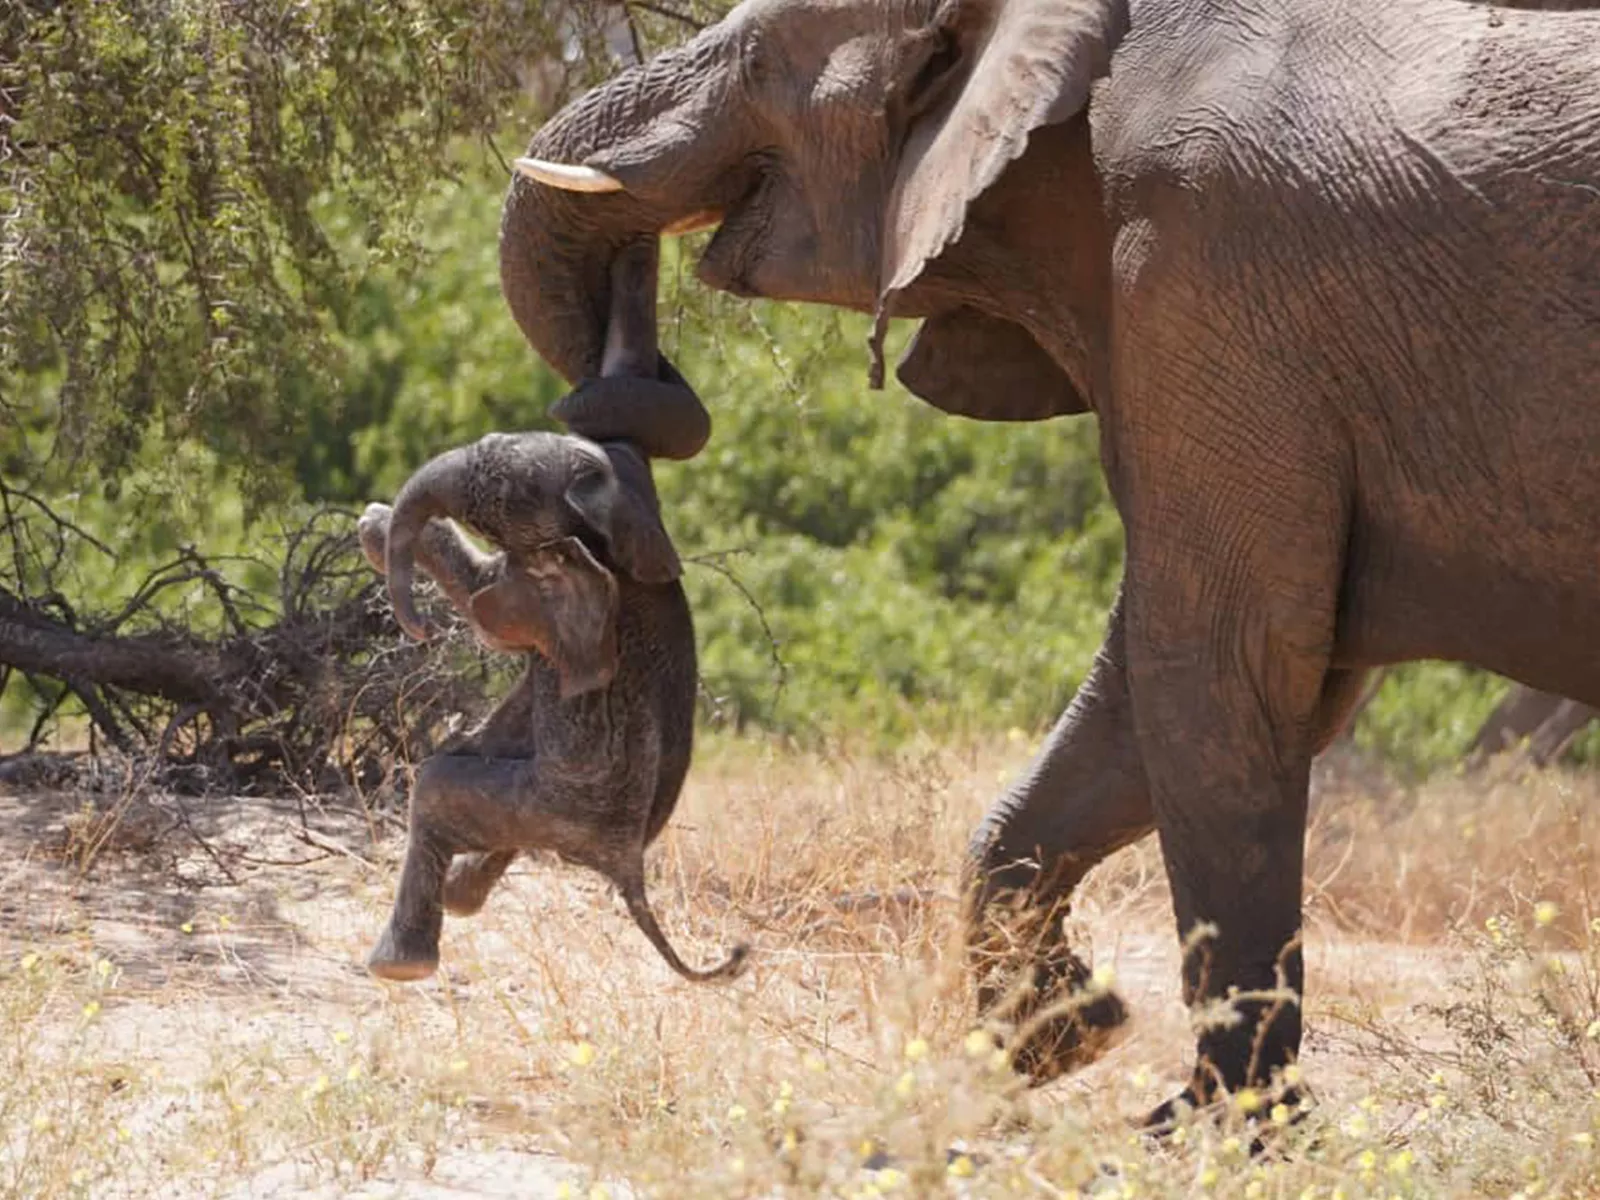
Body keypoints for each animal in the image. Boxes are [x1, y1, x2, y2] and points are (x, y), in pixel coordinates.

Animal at [360, 412, 745, 985]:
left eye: (499, 487)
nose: (421, 629)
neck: (615, 512)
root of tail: (627, 866)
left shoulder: (549, 590)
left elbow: (485, 609)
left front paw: (374, 521)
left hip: (554, 803)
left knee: (437, 790)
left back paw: (399, 964)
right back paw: (459, 896)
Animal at [492, 0, 1593, 1120]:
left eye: (757, 58)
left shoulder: (1209, 285)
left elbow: (1216, 667)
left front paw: (1210, 1129)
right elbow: (1161, 703)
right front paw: (1068, 1038)